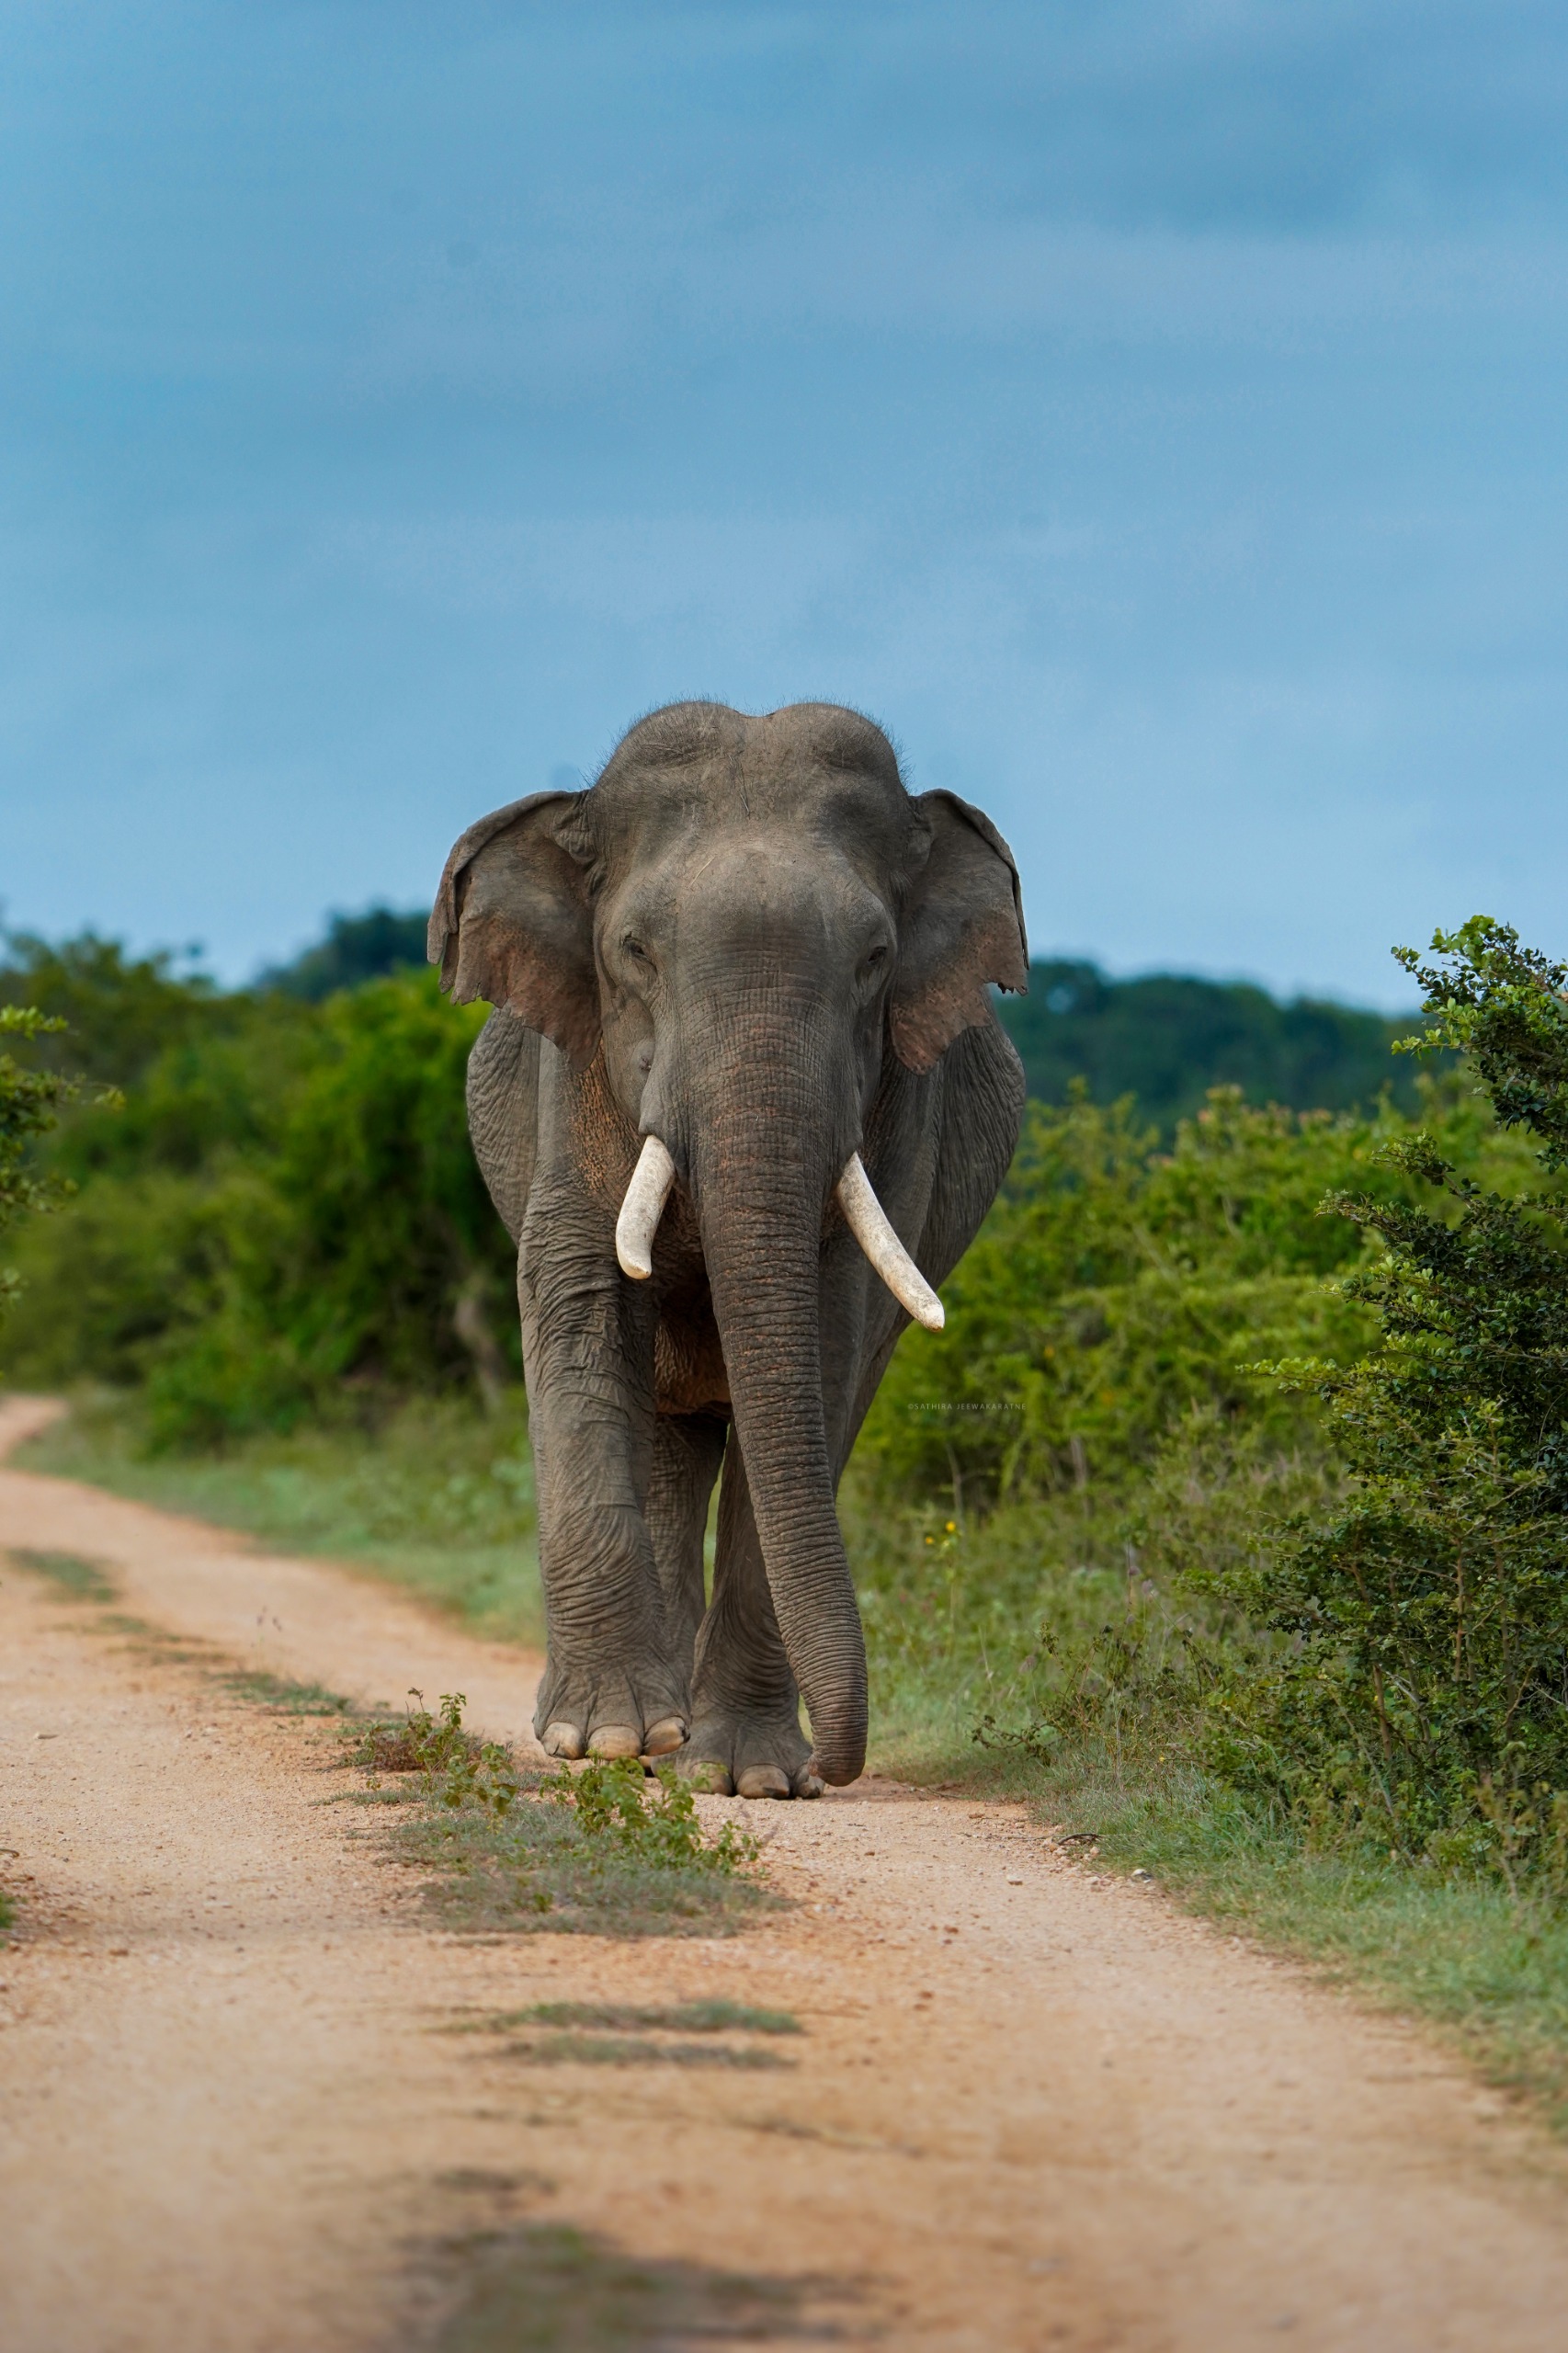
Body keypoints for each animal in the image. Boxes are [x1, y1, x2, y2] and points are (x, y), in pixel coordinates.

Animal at [430, 700, 1027, 1796]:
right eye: (633, 952)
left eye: (874, 959)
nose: (839, 1766)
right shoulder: (574, 1070)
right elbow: (577, 1302)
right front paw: (599, 1742)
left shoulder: (898, 1106)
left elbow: (824, 1346)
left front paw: (748, 1777)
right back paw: (645, 1737)